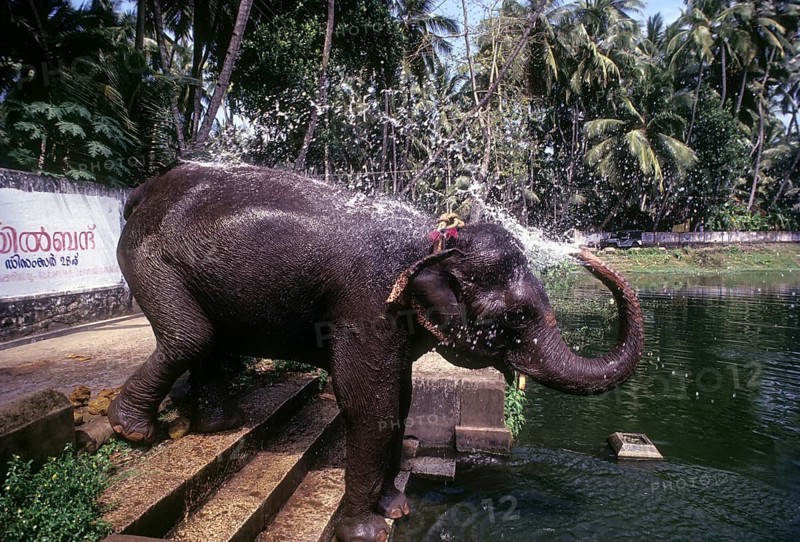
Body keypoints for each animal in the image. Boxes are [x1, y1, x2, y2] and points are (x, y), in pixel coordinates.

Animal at [108, 162, 644, 542]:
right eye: (515, 317)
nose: (583, 251)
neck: (434, 240)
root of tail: (142, 191)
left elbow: (401, 399)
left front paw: (397, 509)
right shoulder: (366, 303)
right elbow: (372, 405)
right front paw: (366, 532)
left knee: (208, 339)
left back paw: (220, 424)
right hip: (151, 259)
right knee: (190, 336)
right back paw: (132, 431)